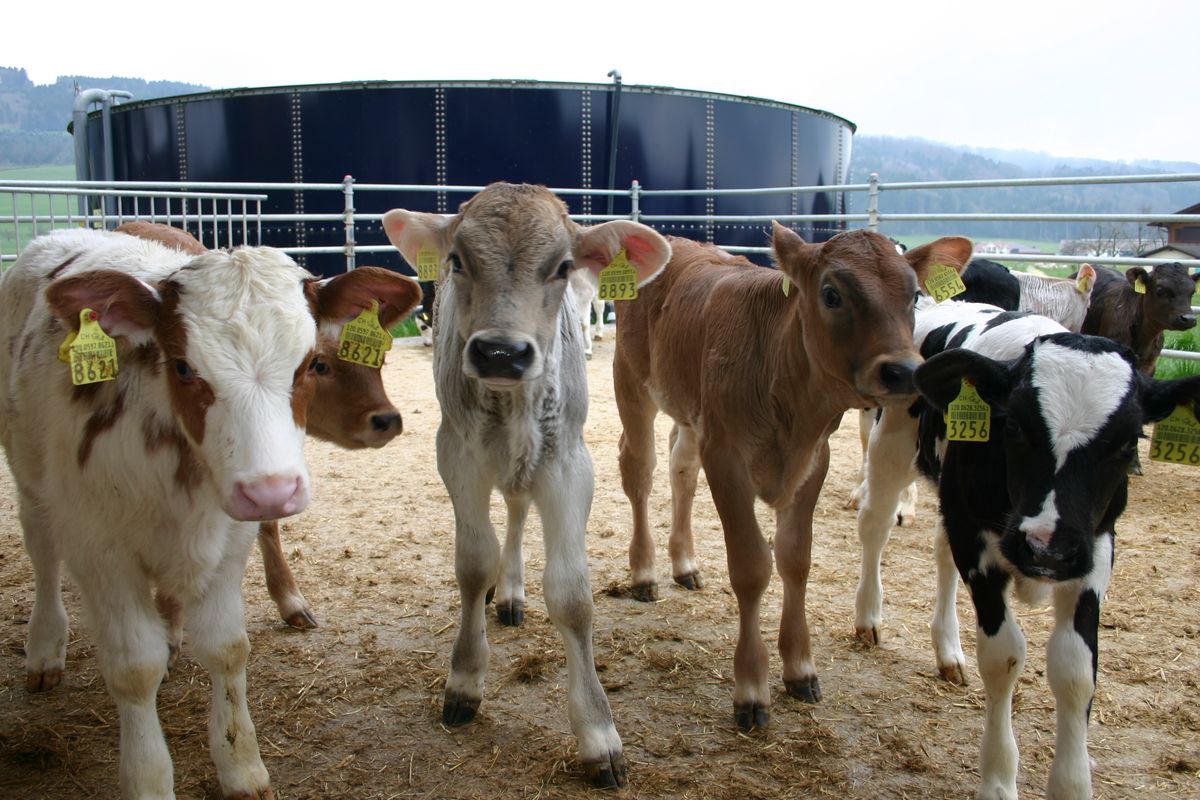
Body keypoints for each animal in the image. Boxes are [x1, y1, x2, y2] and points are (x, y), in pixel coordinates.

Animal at [381, 183, 672, 786]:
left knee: (516, 510)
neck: (511, 405)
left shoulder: (569, 464)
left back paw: (513, 590)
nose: (500, 352)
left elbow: (572, 595)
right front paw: (464, 681)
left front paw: (598, 734)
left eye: (562, 266)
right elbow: (473, 566)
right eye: (456, 260)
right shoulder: (457, 455)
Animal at [614, 226, 969, 734]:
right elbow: (751, 567)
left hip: (690, 412)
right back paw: (644, 572)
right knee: (639, 470)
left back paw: (684, 563)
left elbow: (796, 560)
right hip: (631, 381)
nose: (904, 370)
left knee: (681, 467)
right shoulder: (726, 457)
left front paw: (801, 668)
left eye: (914, 296)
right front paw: (751, 688)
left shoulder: (813, 459)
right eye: (831, 293)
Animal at [859, 297, 1195, 796]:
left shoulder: (1095, 550)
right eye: (1014, 425)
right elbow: (1004, 657)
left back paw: (948, 649)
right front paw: (999, 779)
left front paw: (1072, 784)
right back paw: (867, 616)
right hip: (893, 444)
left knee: (941, 554)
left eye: (1127, 441)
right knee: (875, 526)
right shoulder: (977, 542)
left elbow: (1076, 669)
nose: (1045, 549)